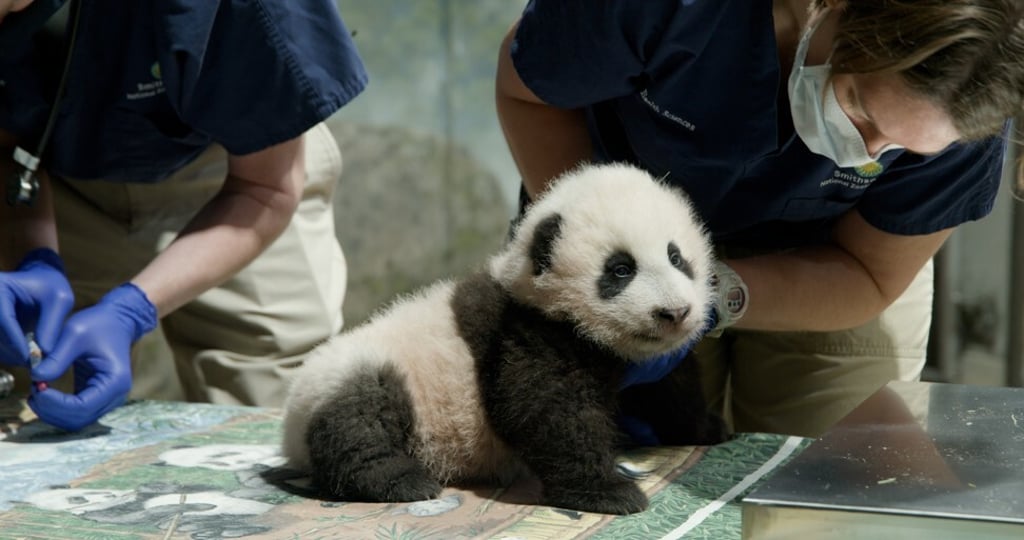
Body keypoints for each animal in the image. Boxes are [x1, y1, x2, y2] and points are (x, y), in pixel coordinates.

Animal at [281, 162, 728, 515]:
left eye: (676, 257)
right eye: (621, 269)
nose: (675, 313)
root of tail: (289, 433)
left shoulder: (647, 363)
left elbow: (671, 388)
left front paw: (706, 429)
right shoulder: (525, 331)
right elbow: (547, 410)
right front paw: (609, 492)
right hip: (355, 375)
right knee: (361, 417)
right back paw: (402, 480)